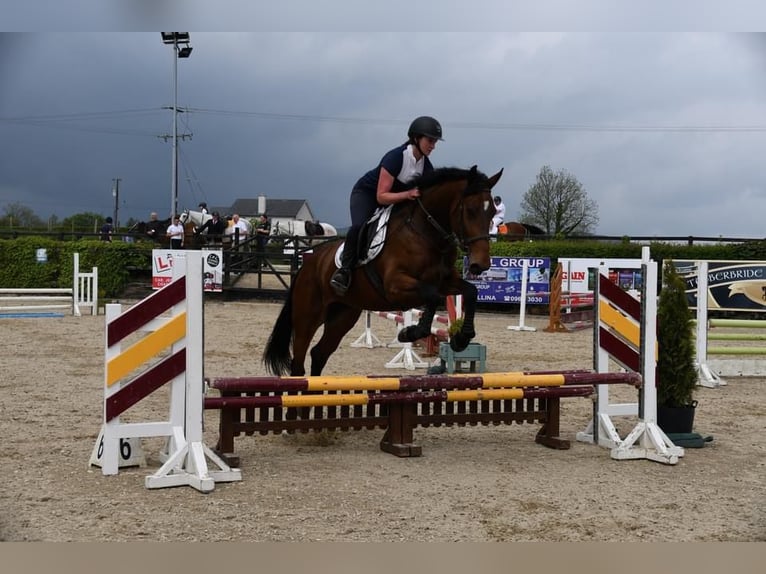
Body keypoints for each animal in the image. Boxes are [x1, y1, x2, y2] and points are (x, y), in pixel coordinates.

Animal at [264, 164, 504, 378]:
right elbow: (432, 297)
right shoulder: (396, 286)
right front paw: (409, 332)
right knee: (299, 361)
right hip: (308, 317)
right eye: (470, 211)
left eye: (492, 211)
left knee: (319, 353)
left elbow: (471, 291)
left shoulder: (444, 281)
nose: (481, 264)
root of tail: (309, 263)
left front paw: (462, 338)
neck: (425, 233)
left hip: (342, 315)